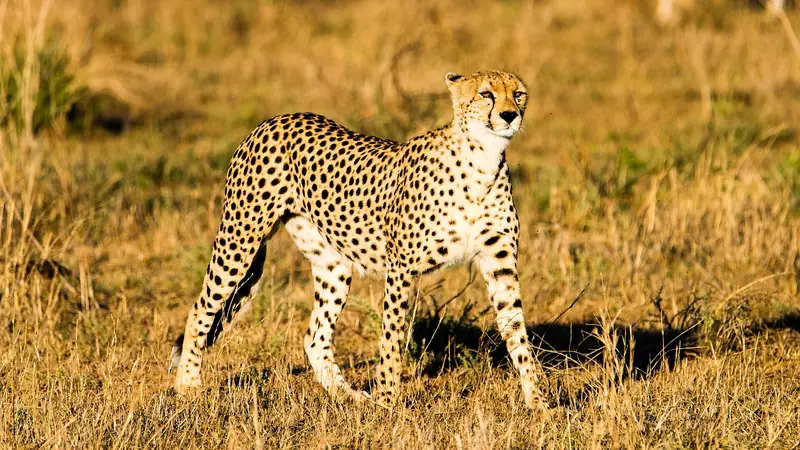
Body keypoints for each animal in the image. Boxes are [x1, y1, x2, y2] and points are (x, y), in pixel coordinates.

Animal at [170, 70, 548, 410]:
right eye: (486, 94)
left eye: (518, 94)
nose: (510, 115)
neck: (483, 160)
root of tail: (276, 118)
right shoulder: (402, 268)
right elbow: (392, 337)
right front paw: (387, 403)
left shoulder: (499, 263)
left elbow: (516, 332)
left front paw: (539, 403)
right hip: (239, 240)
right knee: (200, 309)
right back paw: (188, 386)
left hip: (332, 264)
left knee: (315, 337)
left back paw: (348, 396)